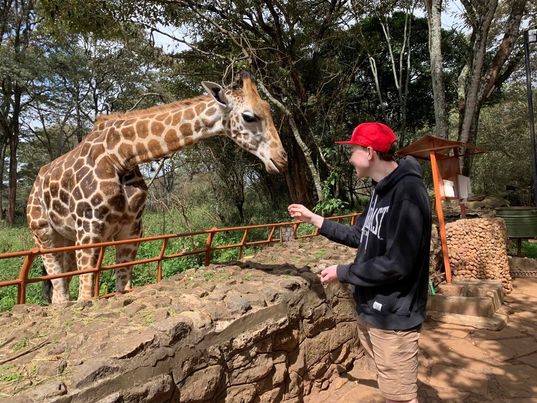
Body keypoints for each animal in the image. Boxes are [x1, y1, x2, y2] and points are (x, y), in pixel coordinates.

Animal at [26, 72, 288, 303]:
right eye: (248, 116)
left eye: (269, 110)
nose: (281, 159)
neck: (122, 156)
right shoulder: (89, 229)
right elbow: (86, 295)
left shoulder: (131, 229)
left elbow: (122, 286)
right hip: (44, 233)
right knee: (59, 288)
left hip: (67, 237)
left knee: (61, 283)